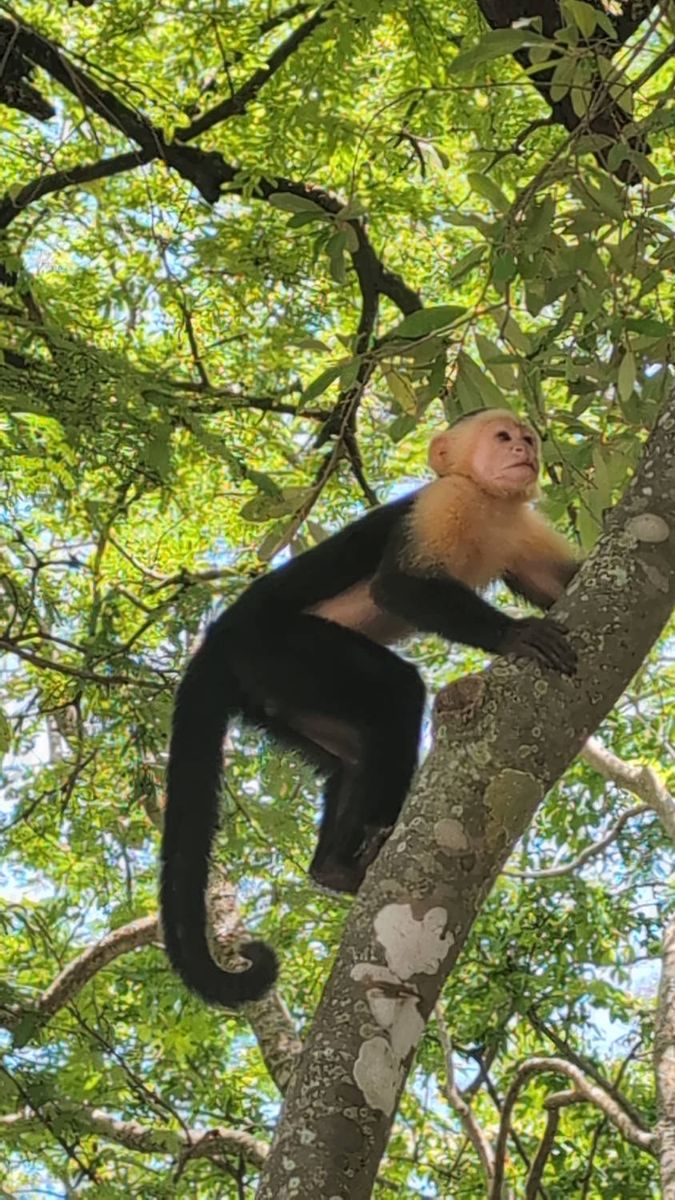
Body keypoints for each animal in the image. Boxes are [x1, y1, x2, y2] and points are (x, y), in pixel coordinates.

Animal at [161, 408, 579, 1007]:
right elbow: (398, 588)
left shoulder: (522, 528)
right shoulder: (442, 503)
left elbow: (563, 584)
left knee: (356, 753)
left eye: (527, 438)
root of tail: (217, 639)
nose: (524, 450)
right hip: (281, 649)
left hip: (274, 692)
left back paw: (332, 868)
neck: (489, 502)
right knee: (399, 693)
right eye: (503, 437)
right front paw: (515, 634)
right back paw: (358, 856)